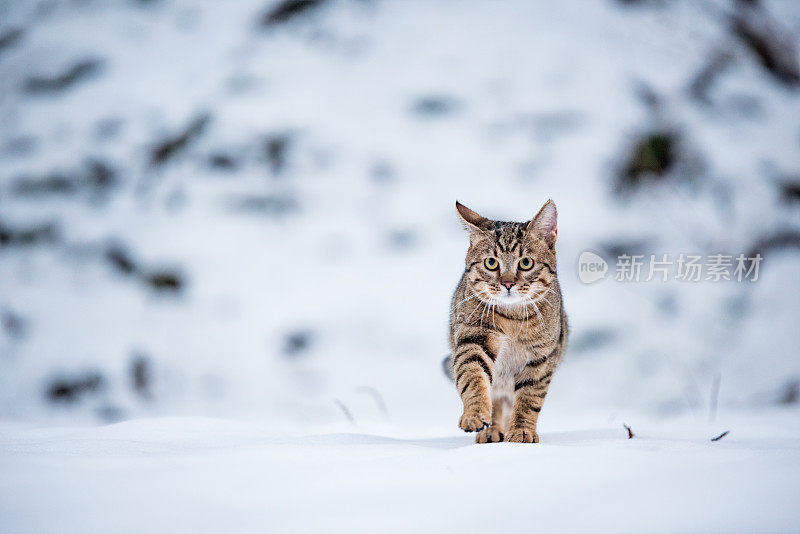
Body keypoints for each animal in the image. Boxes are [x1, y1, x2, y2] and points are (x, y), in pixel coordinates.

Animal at [444, 200, 568, 444]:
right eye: (491, 263)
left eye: (526, 263)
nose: (508, 283)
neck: (513, 320)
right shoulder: (473, 339)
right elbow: (472, 377)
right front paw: (474, 415)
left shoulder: (541, 358)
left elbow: (529, 399)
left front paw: (522, 430)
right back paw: (491, 430)